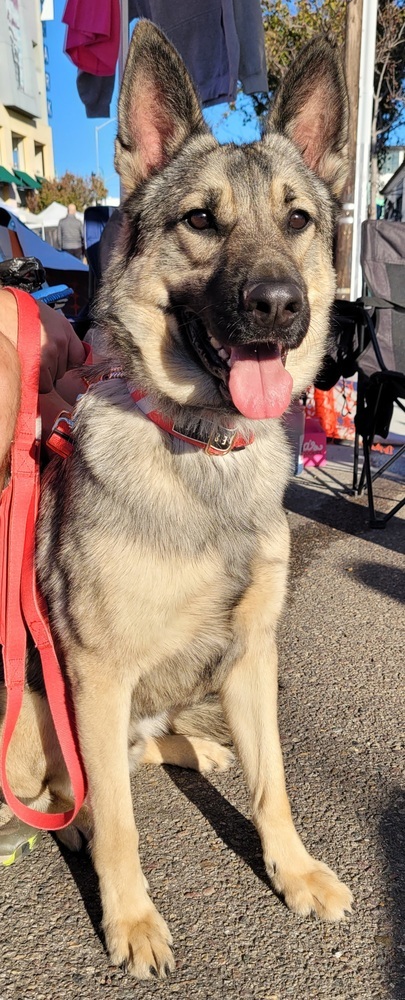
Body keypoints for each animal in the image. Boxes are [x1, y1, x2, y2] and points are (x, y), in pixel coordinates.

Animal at [2, 19, 350, 980]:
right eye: (201, 220)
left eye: (297, 220)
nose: (279, 307)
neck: (201, 448)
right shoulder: (95, 672)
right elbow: (123, 825)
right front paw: (129, 918)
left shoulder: (251, 657)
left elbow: (275, 787)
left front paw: (293, 871)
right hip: (31, 713)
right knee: (68, 786)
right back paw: (76, 819)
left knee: (134, 747)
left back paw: (192, 744)